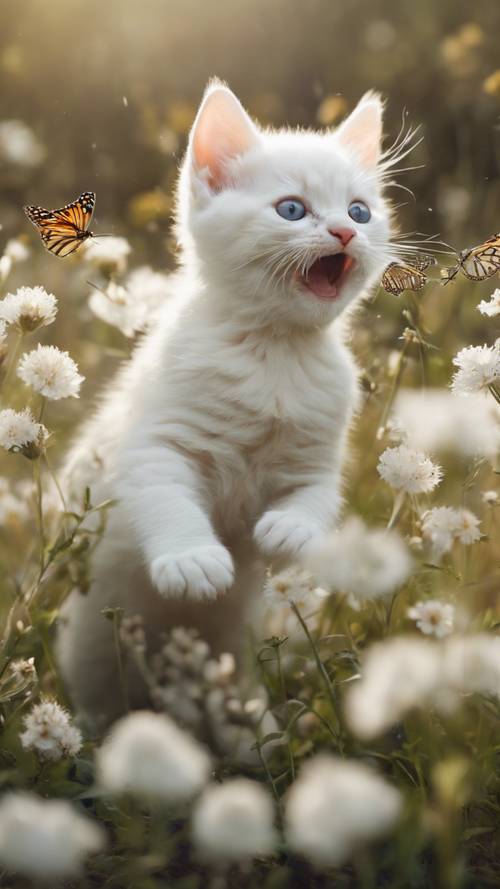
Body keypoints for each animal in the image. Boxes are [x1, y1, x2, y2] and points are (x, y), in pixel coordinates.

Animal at [58, 80, 392, 724]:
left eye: (360, 210)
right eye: (293, 209)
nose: (345, 233)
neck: (273, 352)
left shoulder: (316, 454)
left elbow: (318, 496)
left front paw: (291, 530)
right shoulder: (157, 443)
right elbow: (167, 498)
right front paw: (191, 560)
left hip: (232, 651)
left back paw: (250, 726)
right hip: (91, 647)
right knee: (101, 700)